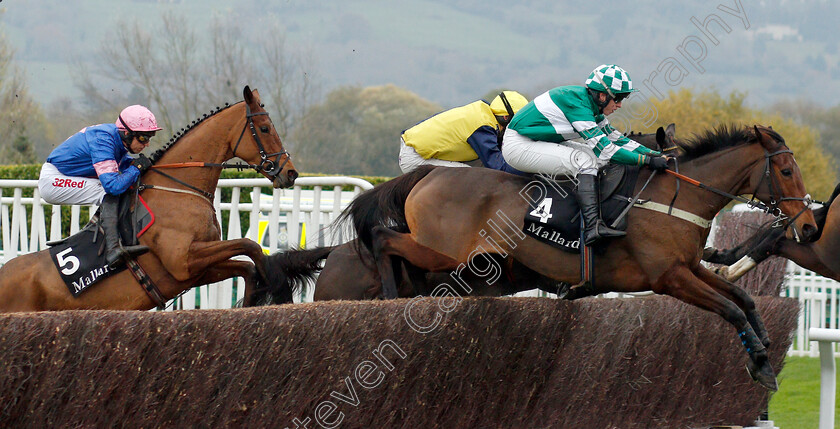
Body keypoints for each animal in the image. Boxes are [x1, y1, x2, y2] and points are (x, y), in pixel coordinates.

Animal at [0, 85, 300, 310]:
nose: (290, 172)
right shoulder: (184, 261)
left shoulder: (193, 272)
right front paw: (280, 286)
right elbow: (250, 246)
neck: (178, 189)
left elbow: (246, 267)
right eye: (264, 128)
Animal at [340, 125, 812, 390]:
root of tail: (430, 173)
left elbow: (743, 298)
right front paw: (759, 362)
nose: (808, 226)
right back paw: (390, 296)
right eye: (787, 171)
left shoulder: (689, 267)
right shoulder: (669, 278)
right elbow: (729, 309)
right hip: (445, 248)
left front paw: (763, 348)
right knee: (383, 238)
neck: (674, 197)